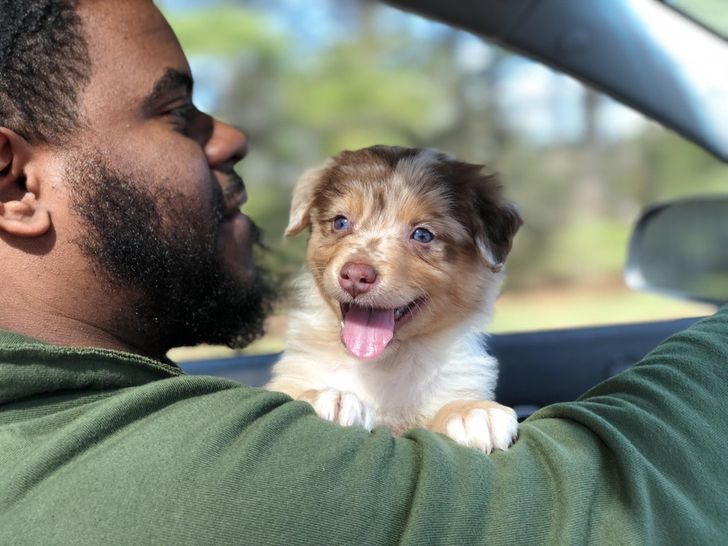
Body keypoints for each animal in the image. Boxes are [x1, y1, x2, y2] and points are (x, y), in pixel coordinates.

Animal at [268, 144, 524, 450]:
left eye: (423, 234)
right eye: (341, 222)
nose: (356, 275)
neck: (383, 364)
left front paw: (473, 411)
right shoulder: (295, 374)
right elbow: (298, 391)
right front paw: (331, 396)